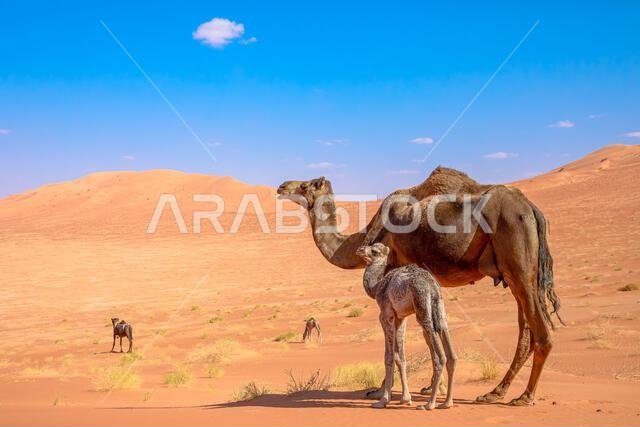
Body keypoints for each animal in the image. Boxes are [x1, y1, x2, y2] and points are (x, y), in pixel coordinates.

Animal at [357, 243, 456, 410]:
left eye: (375, 251)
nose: (359, 250)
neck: (377, 287)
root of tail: (432, 286)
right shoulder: (400, 317)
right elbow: (400, 356)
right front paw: (405, 398)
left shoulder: (386, 314)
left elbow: (389, 356)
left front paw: (383, 400)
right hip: (439, 308)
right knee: (451, 354)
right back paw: (447, 403)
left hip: (422, 306)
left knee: (439, 356)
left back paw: (429, 404)